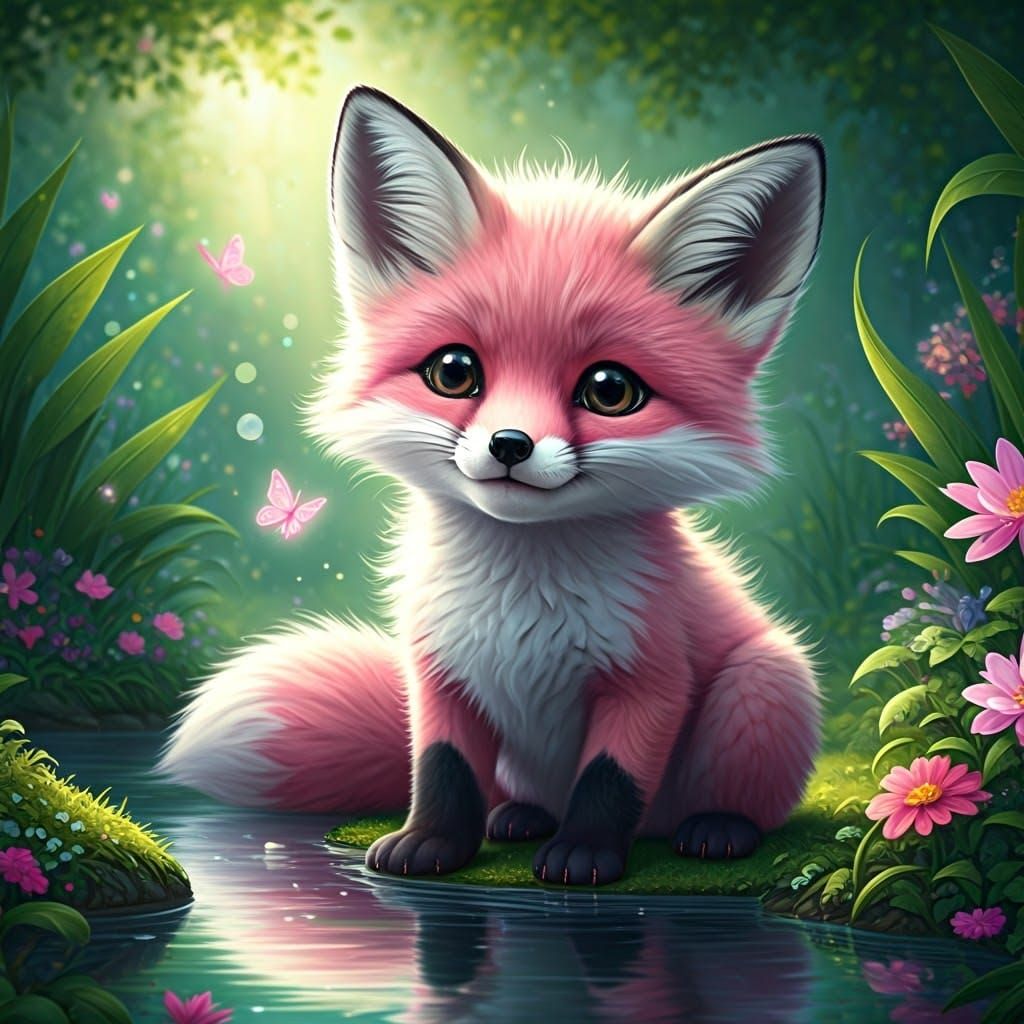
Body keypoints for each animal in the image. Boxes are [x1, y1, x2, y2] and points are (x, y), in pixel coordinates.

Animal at [159, 86, 825, 886]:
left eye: (610, 390)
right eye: (454, 372)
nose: (511, 445)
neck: (522, 607)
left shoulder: (651, 678)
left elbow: (610, 780)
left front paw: (584, 855)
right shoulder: (438, 670)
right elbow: (442, 769)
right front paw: (430, 844)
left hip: (762, 683)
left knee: (723, 804)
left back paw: (715, 828)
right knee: (510, 791)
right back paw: (518, 818)